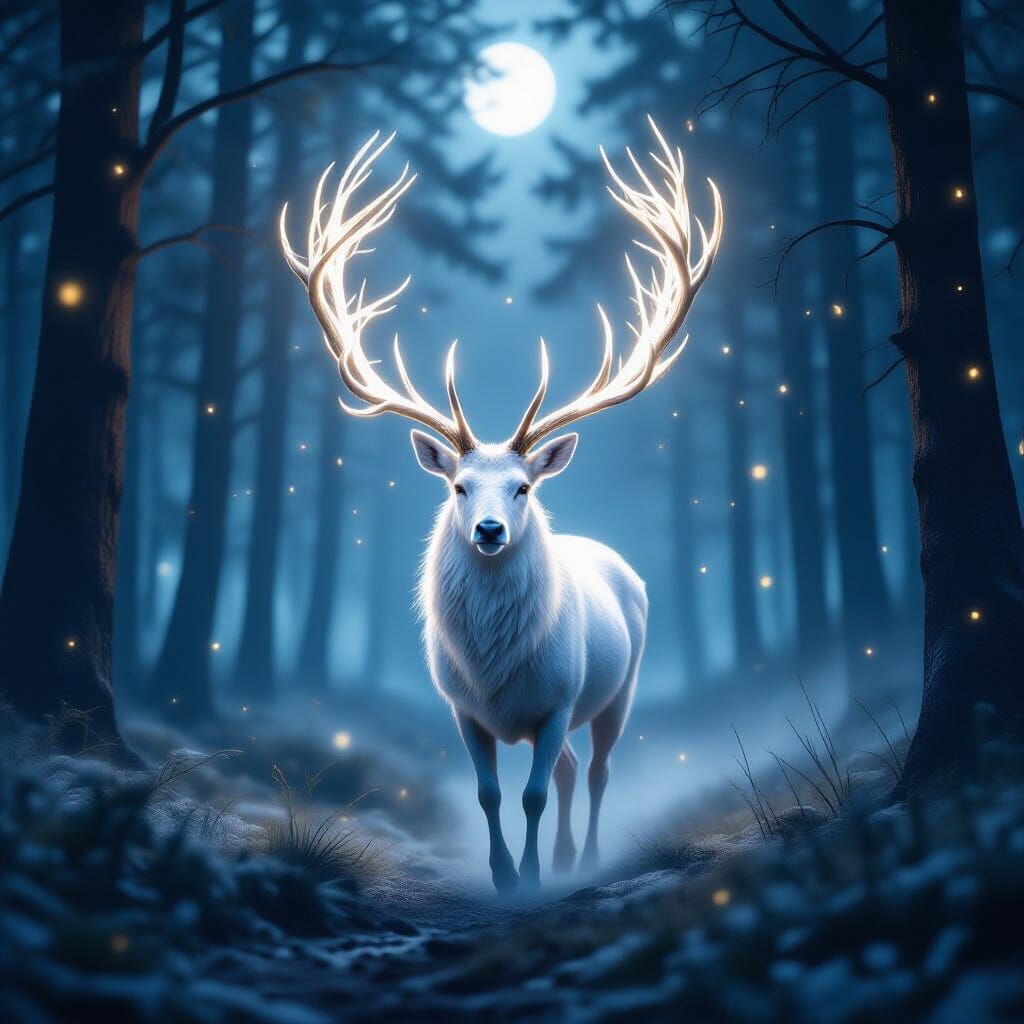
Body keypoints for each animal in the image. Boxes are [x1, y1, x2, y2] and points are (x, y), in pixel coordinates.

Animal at [280, 119, 723, 892]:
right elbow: (490, 793)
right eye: (458, 486)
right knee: (576, 769)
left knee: (596, 771)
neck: (496, 676)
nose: (488, 529)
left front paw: (535, 877)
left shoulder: (559, 701)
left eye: (524, 486)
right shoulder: (462, 710)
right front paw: (505, 874)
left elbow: (534, 792)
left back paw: (587, 858)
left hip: (620, 689)